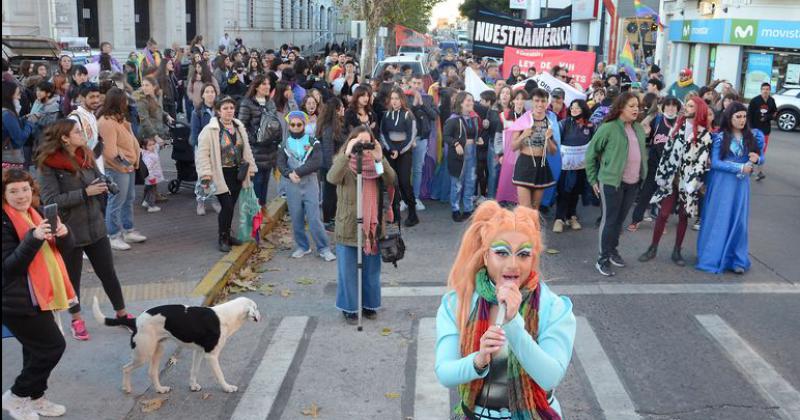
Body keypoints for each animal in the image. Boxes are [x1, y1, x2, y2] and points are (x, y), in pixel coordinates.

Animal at [91, 296, 260, 394]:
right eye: (256, 308)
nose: (260, 316)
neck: (226, 315)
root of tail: (136, 321)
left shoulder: (199, 352)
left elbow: (194, 371)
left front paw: (193, 386)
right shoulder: (211, 355)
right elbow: (220, 375)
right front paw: (227, 387)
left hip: (158, 350)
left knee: (152, 372)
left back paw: (160, 389)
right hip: (143, 355)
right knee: (126, 368)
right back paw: (127, 388)